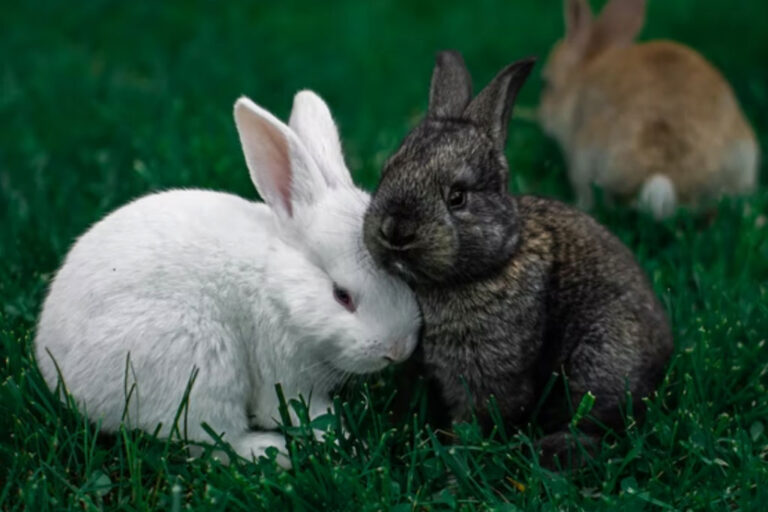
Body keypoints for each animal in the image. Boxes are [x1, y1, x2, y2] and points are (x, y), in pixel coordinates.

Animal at [34, 90, 421, 468]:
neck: (278, 287)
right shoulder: (283, 374)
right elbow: (301, 412)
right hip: (199, 367)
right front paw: (349, 443)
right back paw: (272, 451)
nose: (398, 350)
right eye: (341, 295)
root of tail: (56, 371)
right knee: (213, 442)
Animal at [363, 51, 673, 467]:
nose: (396, 231)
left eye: (457, 196)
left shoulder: (484, 374)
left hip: (602, 359)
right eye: (387, 172)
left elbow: (478, 415)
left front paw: (457, 456)